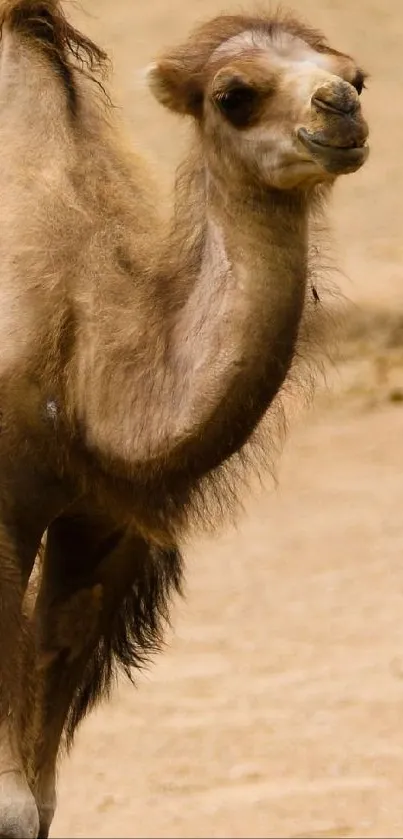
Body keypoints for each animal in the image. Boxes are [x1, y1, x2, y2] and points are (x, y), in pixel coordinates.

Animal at [0, 3, 370, 836]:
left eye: (357, 74)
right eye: (234, 94)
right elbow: (10, 800)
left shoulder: (103, 522)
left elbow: (38, 795)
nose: (340, 107)